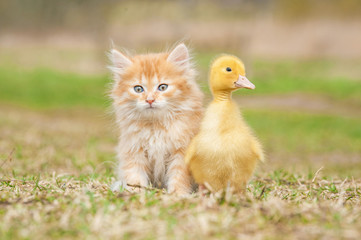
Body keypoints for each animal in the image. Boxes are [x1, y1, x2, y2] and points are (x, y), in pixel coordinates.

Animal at [108, 43, 202, 195]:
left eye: (162, 87)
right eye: (138, 89)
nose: (150, 100)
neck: (156, 125)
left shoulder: (182, 151)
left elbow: (179, 176)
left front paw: (178, 193)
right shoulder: (133, 149)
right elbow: (134, 174)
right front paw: (134, 191)